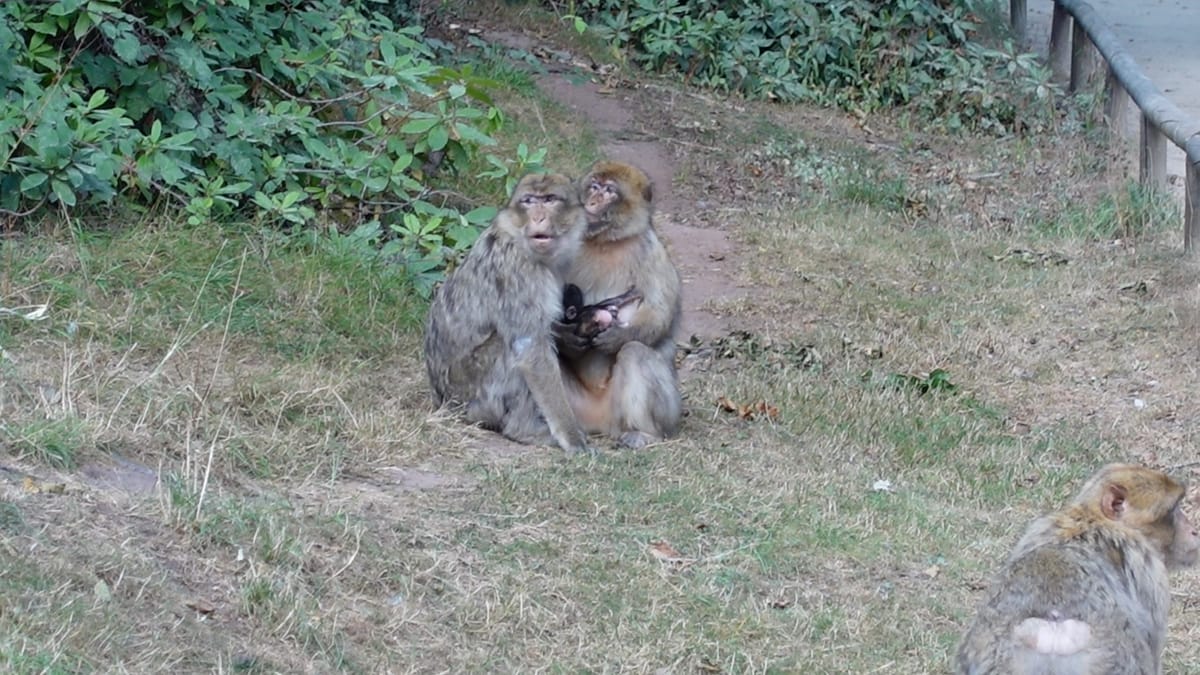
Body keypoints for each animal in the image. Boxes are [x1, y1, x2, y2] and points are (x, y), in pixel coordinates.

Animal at [424, 173, 592, 455]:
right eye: (529, 201)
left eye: (549, 199)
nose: (538, 217)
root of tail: (441, 399)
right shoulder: (518, 272)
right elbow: (531, 349)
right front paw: (572, 438)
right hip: (473, 395)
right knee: (508, 348)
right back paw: (523, 430)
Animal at [554, 160, 683, 449]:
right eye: (594, 186)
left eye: (610, 191)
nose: (592, 201)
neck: (605, 242)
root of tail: (600, 423)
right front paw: (569, 337)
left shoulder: (651, 252)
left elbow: (658, 315)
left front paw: (615, 337)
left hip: (661, 411)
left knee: (635, 352)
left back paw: (644, 434)